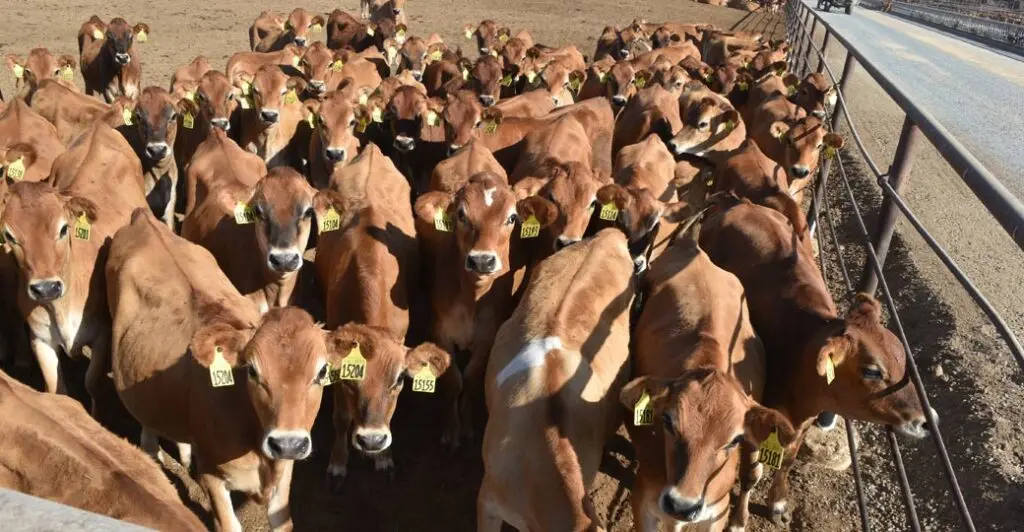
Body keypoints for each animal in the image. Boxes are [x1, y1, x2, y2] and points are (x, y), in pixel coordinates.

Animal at [1, 124, 146, 402]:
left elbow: (92, 384)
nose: (46, 288)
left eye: (63, 228)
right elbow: (57, 390)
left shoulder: (102, 337)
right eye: (9, 235)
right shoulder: (41, 340)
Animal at [105, 209, 333, 532]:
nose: (287, 443)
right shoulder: (213, 476)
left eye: (322, 371)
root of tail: (144, 218)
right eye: (252, 371)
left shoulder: (284, 473)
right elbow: (229, 524)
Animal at [624, 235, 794, 531]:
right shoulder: (643, 498)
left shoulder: (716, 511)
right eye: (667, 420)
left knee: (751, 474)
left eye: (735, 439)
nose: (682, 505)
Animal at [699, 200, 931, 526]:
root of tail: (741, 204)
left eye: (903, 360)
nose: (926, 421)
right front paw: (738, 521)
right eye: (872, 371)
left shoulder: (804, 422)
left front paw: (778, 504)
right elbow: (751, 473)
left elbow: (787, 461)